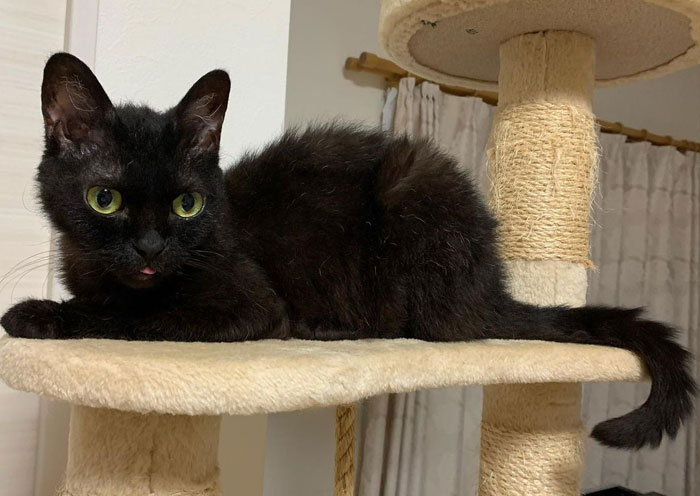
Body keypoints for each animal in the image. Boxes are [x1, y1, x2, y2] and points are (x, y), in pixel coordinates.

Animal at [2, 53, 696, 450]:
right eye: (104, 199)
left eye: (187, 206)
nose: (150, 247)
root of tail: (492, 286)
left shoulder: (246, 303)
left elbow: (134, 315)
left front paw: (36, 315)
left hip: (409, 196)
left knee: (421, 327)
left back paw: (324, 327)